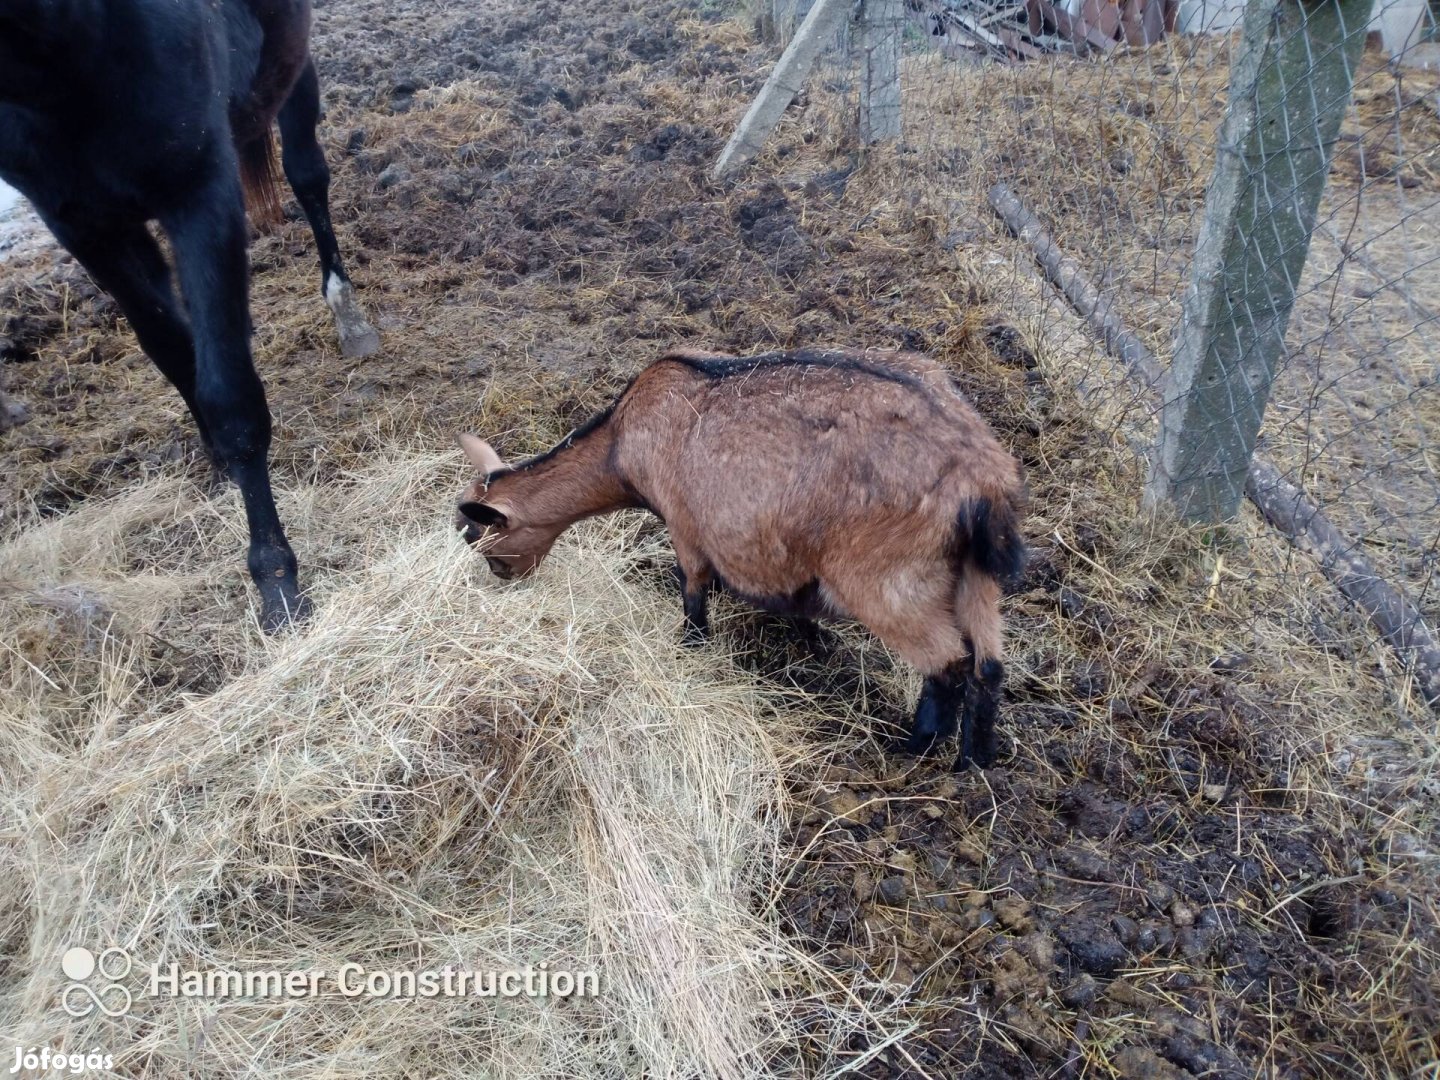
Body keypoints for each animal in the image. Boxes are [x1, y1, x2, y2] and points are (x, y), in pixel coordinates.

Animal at [452, 347, 1025, 771]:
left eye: (477, 535)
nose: (502, 577)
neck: (621, 444)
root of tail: (981, 475)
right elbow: (794, 602)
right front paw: (810, 639)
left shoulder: (685, 523)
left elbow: (692, 588)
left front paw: (691, 645)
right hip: (973, 575)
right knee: (988, 664)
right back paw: (973, 762)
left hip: (886, 576)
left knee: (948, 662)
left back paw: (914, 746)